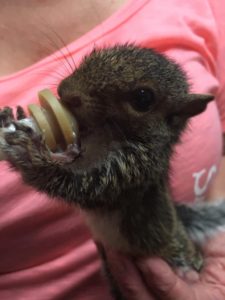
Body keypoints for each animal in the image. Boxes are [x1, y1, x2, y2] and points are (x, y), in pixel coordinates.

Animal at [1, 44, 225, 298]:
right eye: (93, 54)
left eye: (143, 98)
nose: (66, 92)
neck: (104, 136)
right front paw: (19, 122)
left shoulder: (132, 171)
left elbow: (79, 186)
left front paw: (29, 153)